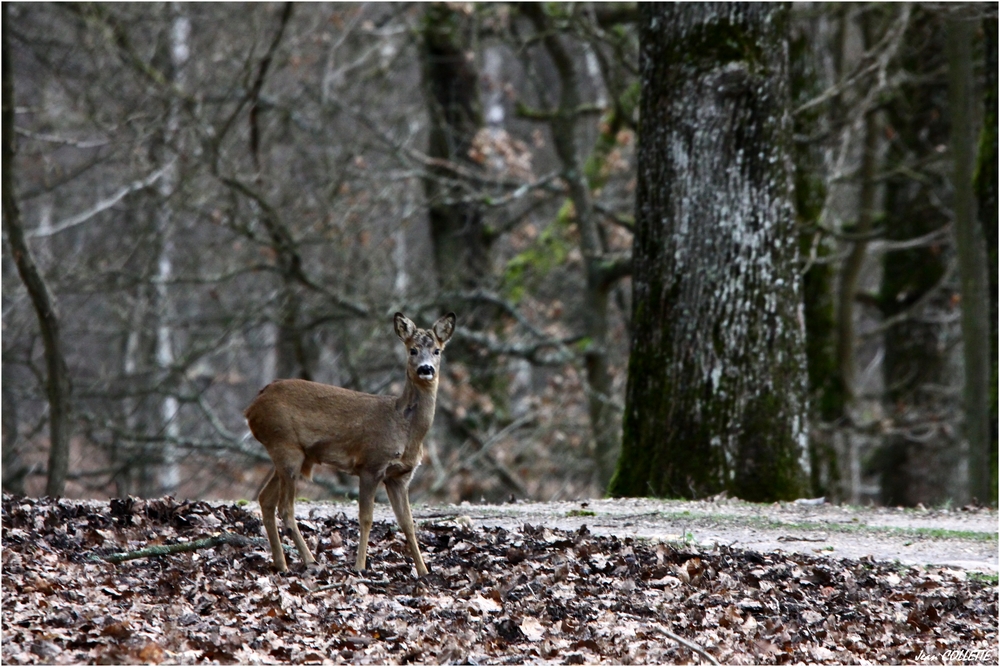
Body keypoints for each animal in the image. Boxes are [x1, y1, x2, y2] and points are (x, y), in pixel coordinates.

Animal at [246, 314, 458, 580]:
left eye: (437, 350)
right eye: (413, 350)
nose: (426, 369)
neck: (404, 427)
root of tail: (252, 408)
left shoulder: (399, 477)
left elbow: (408, 522)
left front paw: (423, 570)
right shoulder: (371, 464)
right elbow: (366, 518)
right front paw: (360, 566)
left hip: (290, 454)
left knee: (266, 499)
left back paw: (282, 564)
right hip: (286, 447)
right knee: (285, 507)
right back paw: (310, 560)